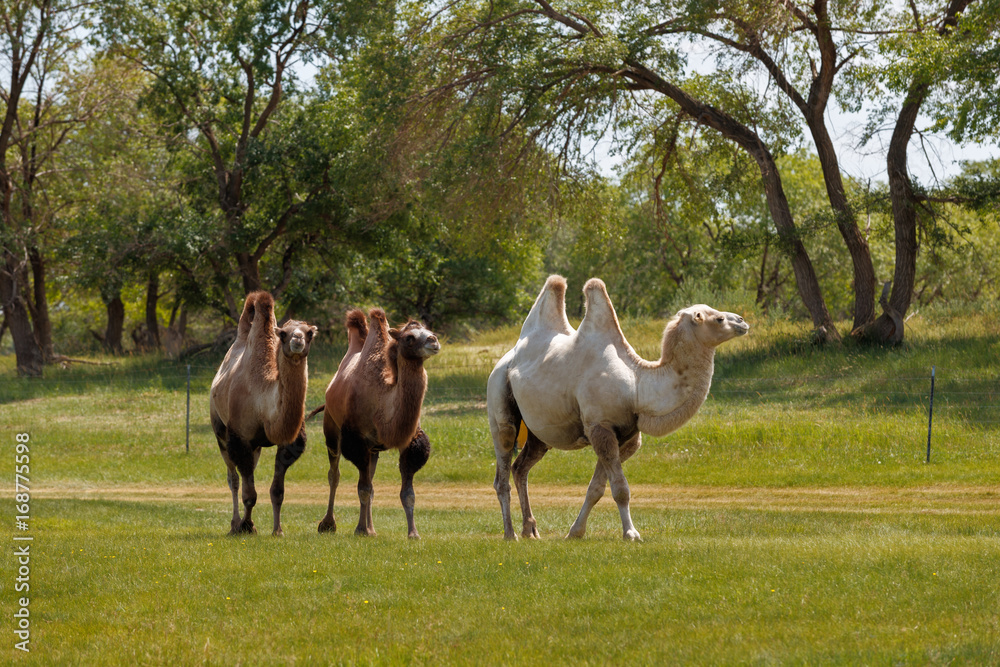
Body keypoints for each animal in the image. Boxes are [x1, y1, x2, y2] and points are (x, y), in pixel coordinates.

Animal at [210, 292, 316, 536]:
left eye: (310, 333)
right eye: (284, 333)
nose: (298, 340)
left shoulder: (288, 443)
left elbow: (277, 492)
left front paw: (277, 530)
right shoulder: (239, 438)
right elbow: (249, 494)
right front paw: (246, 526)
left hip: (256, 446)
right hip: (220, 430)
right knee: (233, 479)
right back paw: (234, 524)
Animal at [318, 310, 440, 540]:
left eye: (429, 330)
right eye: (409, 337)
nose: (434, 340)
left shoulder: (409, 442)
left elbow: (407, 493)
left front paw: (413, 533)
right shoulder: (357, 441)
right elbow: (363, 488)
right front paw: (359, 529)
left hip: (373, 450)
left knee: (371, 482)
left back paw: (372, 529)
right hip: (331, 427)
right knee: (334, 475)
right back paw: (329, 524)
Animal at [484, 276, 752, 544]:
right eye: (718, 318)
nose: (742, 321)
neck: (636, 386)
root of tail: (503, 361)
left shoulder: (626, 436)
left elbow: (596, 488)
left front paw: (575, 532)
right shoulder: (600, 427)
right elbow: (621, 489)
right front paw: (631, 533)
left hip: (538, 433)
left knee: (521, 468)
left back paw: (530, 530)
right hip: (498, 400)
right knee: (502, 470)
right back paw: (510, 534)